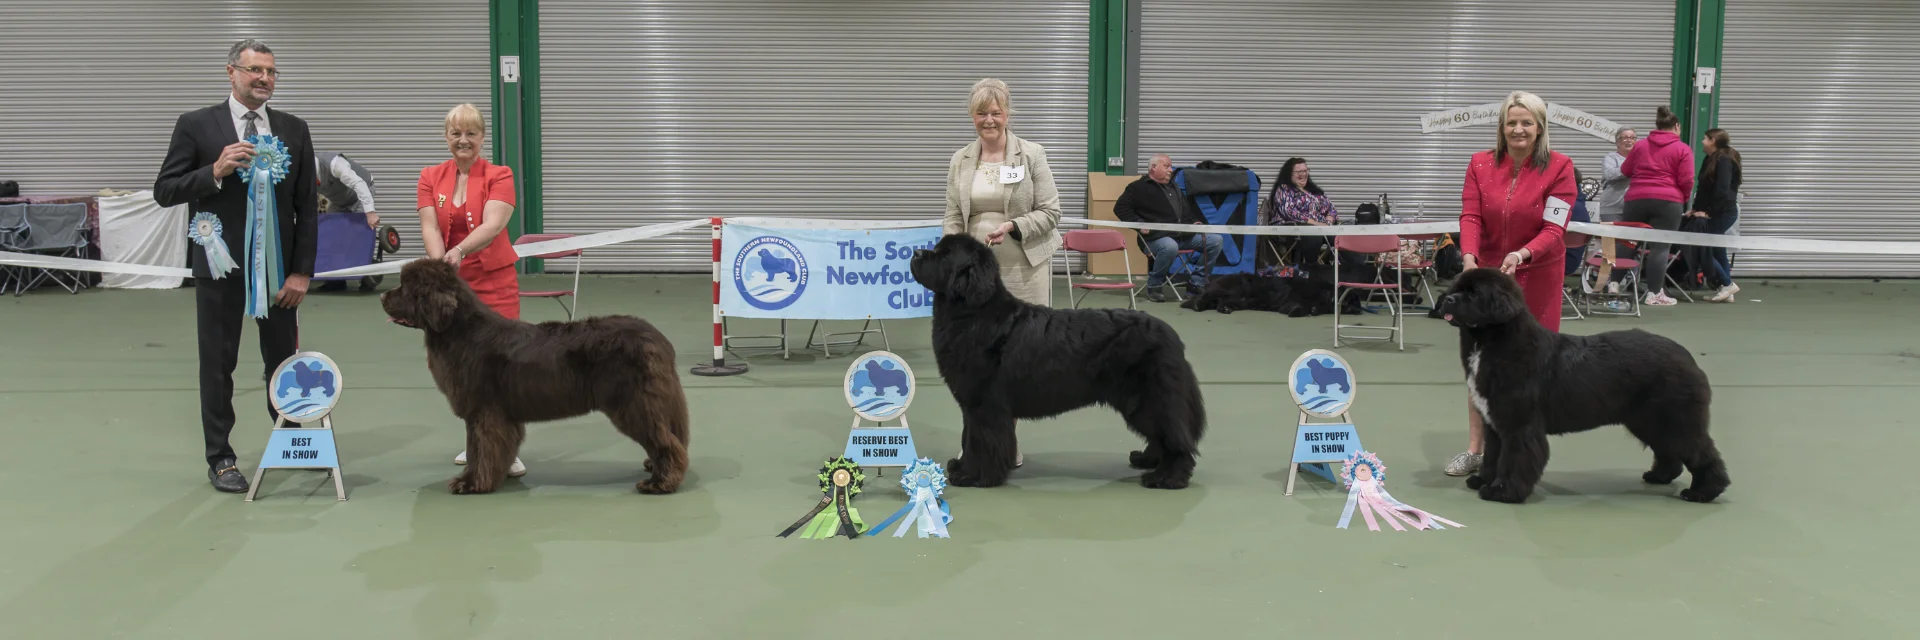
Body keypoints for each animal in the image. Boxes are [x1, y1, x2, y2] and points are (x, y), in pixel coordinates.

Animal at [380, 257, 691, 492]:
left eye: (405, 287)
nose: (382, 295)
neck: (460, 330)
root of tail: (658, 339)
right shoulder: (497, 415)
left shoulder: (483, 411)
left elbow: (478, 448)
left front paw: (470, 483)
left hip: (634, 403)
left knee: (665, 441)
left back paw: (660, 482)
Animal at [910, 234, 1205, 488]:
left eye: (944, 255)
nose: (915, 253)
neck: (972, 312)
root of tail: (1170, 334)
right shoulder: (971, 405)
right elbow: (969, 438)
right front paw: (962, 468)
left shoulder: (984, 404)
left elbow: (980, 441)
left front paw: (974, 476)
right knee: (1162, 435)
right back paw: (1147, 460)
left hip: (1149, 399)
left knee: (1175, 439)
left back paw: (1167, 478)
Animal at [1436, 267, 1735, 499]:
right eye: (1456, 288)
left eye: (1474, 293)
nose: (1447, 299)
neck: (1495, 343)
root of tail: (1687, 356)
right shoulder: (1495, 424)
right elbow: (1493, 456)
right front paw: (1483, 480)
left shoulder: (1519, 425)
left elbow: (1514, 459)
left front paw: (1503, 491)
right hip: (1648, 420)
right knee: (1668, 451)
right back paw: (1659, 476)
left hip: (1675, 418)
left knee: (1701, 451)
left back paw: (1704, 491)